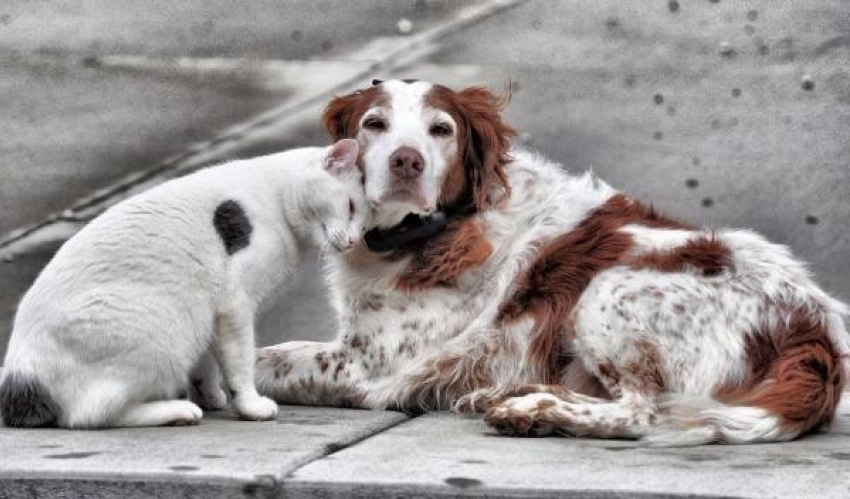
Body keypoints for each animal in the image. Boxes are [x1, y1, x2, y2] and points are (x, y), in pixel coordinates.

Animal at [0, 139, 364, 428]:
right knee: (90, 415)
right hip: (161, 327)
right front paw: (250, 406)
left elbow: (207, 362)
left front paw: (211, 395)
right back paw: (177, 410)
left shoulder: (212, 312)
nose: (353, 242)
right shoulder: (234, 304)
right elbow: (240, 361)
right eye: (350, 206)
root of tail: (19, 377)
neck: (275, 196)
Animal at [255, 80, 844, 448]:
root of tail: (816, 332)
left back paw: (532, 413)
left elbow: (269, 360)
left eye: (441, 130)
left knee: (644, 410)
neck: (432, 231)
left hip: (604, 293)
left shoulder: (371, 366)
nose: (407, 161)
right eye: (374, 124)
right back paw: (514, 396)